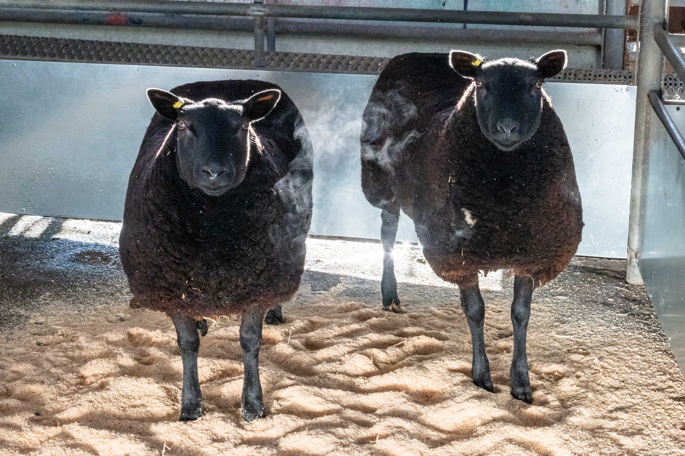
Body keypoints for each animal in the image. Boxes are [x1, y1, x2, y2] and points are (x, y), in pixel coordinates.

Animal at [119, 79, 313, 421]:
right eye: (183, 126)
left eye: (242, 127)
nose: (214, 172)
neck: (211, 226)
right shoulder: (172, 286)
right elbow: (187, 344)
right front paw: (190, 406)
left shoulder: (258, 283)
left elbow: (250, 341)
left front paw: (253, 405)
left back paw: (275, 311)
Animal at [360, 50, 583, 403]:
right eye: (480, 85)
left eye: (536, 85)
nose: (507, 127)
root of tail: (418, 54)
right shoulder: (458, 255)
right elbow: (475, 311)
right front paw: (482, 377)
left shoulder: (531, 252)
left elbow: (521, 314)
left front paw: (521, 383)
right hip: (382, 180)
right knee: (388, 231)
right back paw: (389, 293)